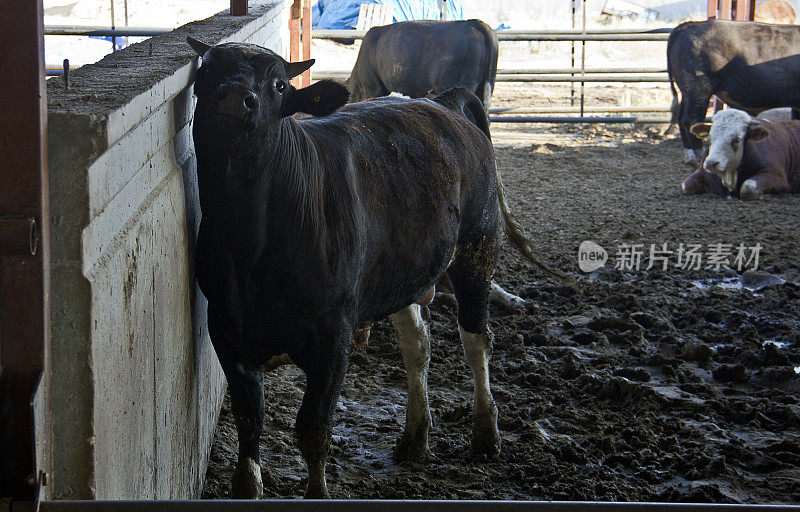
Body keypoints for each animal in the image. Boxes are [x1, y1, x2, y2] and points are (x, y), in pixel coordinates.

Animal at [187, 38, 556, 502]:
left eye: (277, 85)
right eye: (206, 73)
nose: (236, 98)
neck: (250, 246)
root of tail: (443, 102)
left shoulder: (332, 341)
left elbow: (313, 429)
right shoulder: (228, 336)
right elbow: (248, 421)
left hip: (477, 250)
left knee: (477, 341)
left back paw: (486, 433)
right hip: (403, 274)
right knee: (418, 346)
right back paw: (415, 436)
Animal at [664, 20, 800, 166]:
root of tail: (692, 24)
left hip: (687, 93)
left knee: (681, 118)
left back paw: (690, 157)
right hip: (699, 90)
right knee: (690, 120)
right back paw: (699, 157)